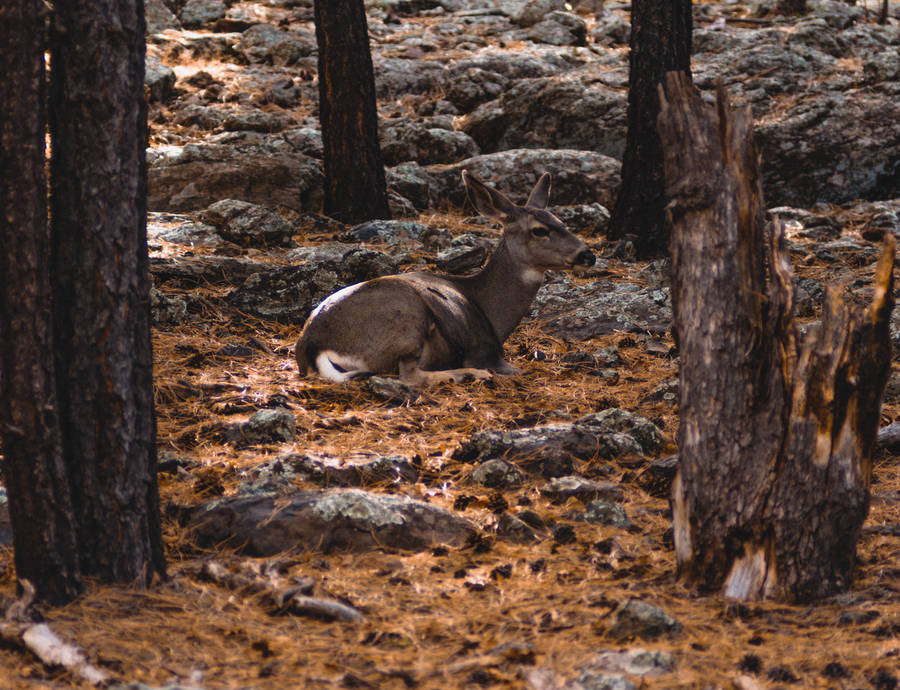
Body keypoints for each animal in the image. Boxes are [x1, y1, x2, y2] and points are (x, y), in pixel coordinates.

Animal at [295, 171, 595, 385]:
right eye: (539, 230)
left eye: (562, 222)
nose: (588, 255)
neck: (489, 310)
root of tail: (313, 345)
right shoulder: (487, 352)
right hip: (406, 319)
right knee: (411, 377)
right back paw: (468, 375)